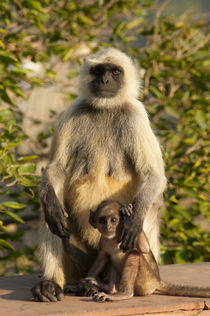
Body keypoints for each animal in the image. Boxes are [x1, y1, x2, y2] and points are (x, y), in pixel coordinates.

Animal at [31, 47, 166, 302]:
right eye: (98, 71)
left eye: (115, 72)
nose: (104, 81)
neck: (105, 109)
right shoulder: (75, 109)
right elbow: (56, 168)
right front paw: (51, 202)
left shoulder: (136, 115)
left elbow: (154, 175)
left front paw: (133, 219)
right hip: (80, 263)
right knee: (50, 208)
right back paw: (53, 284)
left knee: (152, 203)